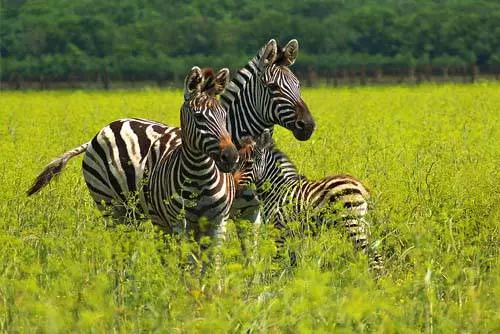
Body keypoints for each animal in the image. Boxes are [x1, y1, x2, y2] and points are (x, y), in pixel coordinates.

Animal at [27, 38, 314, 227]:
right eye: (273, 87)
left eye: (299, 84)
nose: (308, 125)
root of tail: (100, 132)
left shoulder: (252, 212)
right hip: (110, 206)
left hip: (134, 211)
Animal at [232, 130, 384, 274]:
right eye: (237, 162)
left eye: (249, 163)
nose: (234, 187)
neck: (278, 187)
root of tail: (361, 186)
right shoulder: (293, 232)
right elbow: (293, 260)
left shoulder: (279, 228)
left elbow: (277, 259)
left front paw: (274, 280)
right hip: (361, 222)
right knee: (376, 254)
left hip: (351, 222)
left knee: (371, 255)